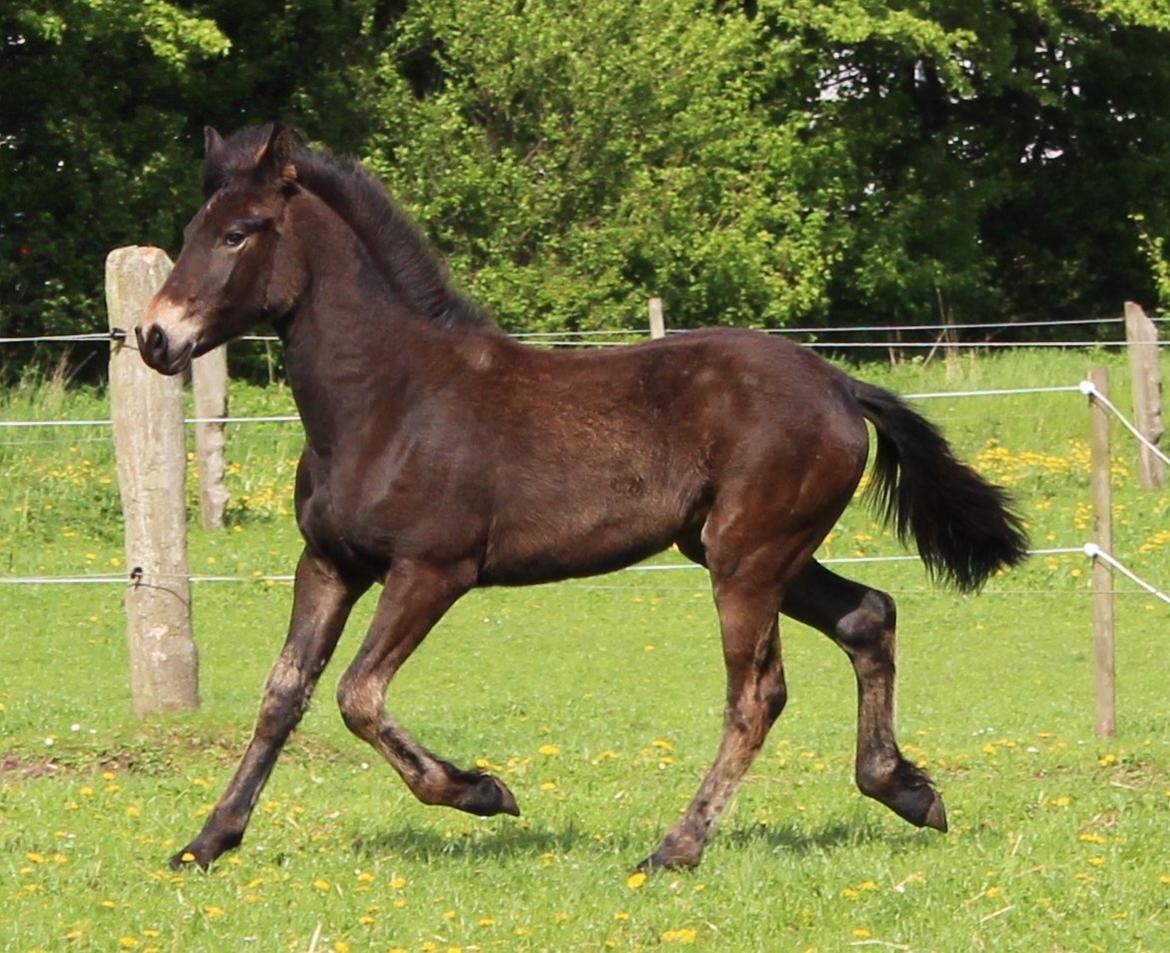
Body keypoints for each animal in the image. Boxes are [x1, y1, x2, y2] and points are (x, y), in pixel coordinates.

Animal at [136, 125, 1024, 869]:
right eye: (190, 232)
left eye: (239, 232)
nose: (153, 336)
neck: (387, 399)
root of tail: (840, 384)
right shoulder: (328, 563)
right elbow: (283, 693)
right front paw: (208, 840)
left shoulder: (433, 569)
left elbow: (358, 694)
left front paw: (484, 790)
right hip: (757, 551)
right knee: (868, 615)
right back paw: (906, 789)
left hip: (747, 559)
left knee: (757, 694)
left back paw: (675, 848)